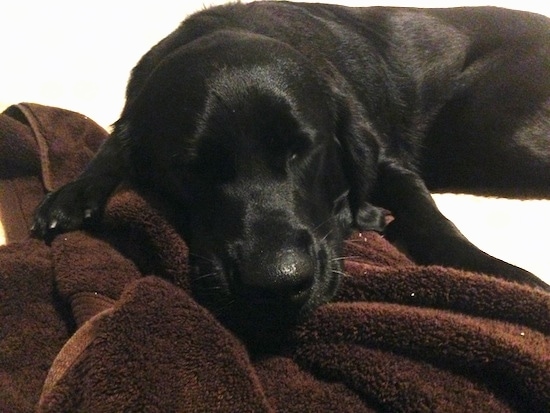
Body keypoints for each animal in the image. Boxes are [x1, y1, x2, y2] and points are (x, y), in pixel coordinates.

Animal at [32, 1, 548, 332]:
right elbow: (111, 147)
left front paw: (506, 280)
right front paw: (74, 194)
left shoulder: (387, 160)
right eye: (192, 168)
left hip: (494, 135)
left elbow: (432, 222)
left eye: (303, 150)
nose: (278, 285)